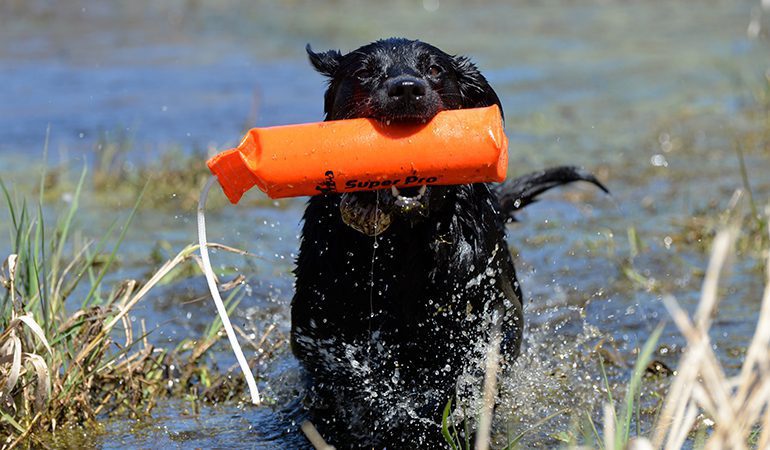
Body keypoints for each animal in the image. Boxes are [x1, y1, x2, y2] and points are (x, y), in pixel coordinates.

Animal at [290, 37, 608, 446]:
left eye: (434, 69)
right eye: (364, 72)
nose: (407, 89)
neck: (403, 242)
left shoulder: (490, 314)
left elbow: (470, 374)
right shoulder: (319, 325)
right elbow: (343, 377)